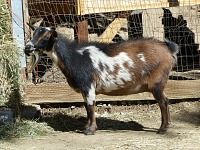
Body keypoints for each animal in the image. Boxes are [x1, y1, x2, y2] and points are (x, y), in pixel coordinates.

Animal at [24, 25, 179, 135]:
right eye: (34, 33)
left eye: (46, 37)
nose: (27, 48)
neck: (75, 56)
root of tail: (168, 49)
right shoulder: (84, 89)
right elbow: (87, 107)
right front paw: (86, 126)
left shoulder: (88, 85)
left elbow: (91, 106)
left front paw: (90, 130)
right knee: (165, 101)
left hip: (157, 82)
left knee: (163, 102)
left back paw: (162, 129)